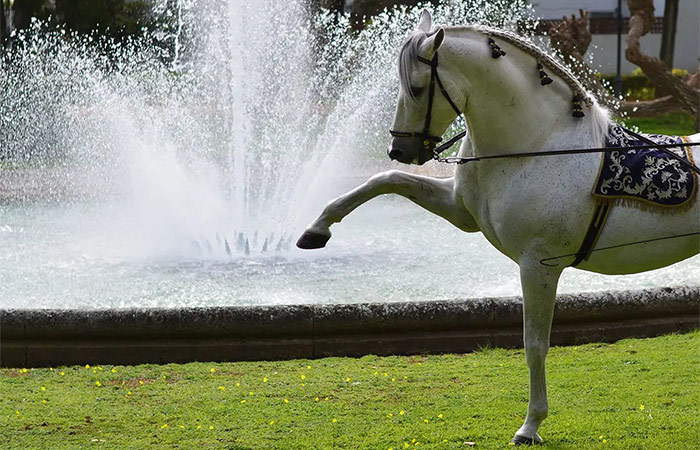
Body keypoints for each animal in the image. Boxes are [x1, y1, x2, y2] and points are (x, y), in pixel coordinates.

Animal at [296, 10, 700, 446]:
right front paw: (316, 230)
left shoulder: (539, 265)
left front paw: (530, 426)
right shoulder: (461, 212)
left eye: (418, 87)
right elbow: (385, 180)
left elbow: (534, 344)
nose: (400, 150)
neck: (539, 146)